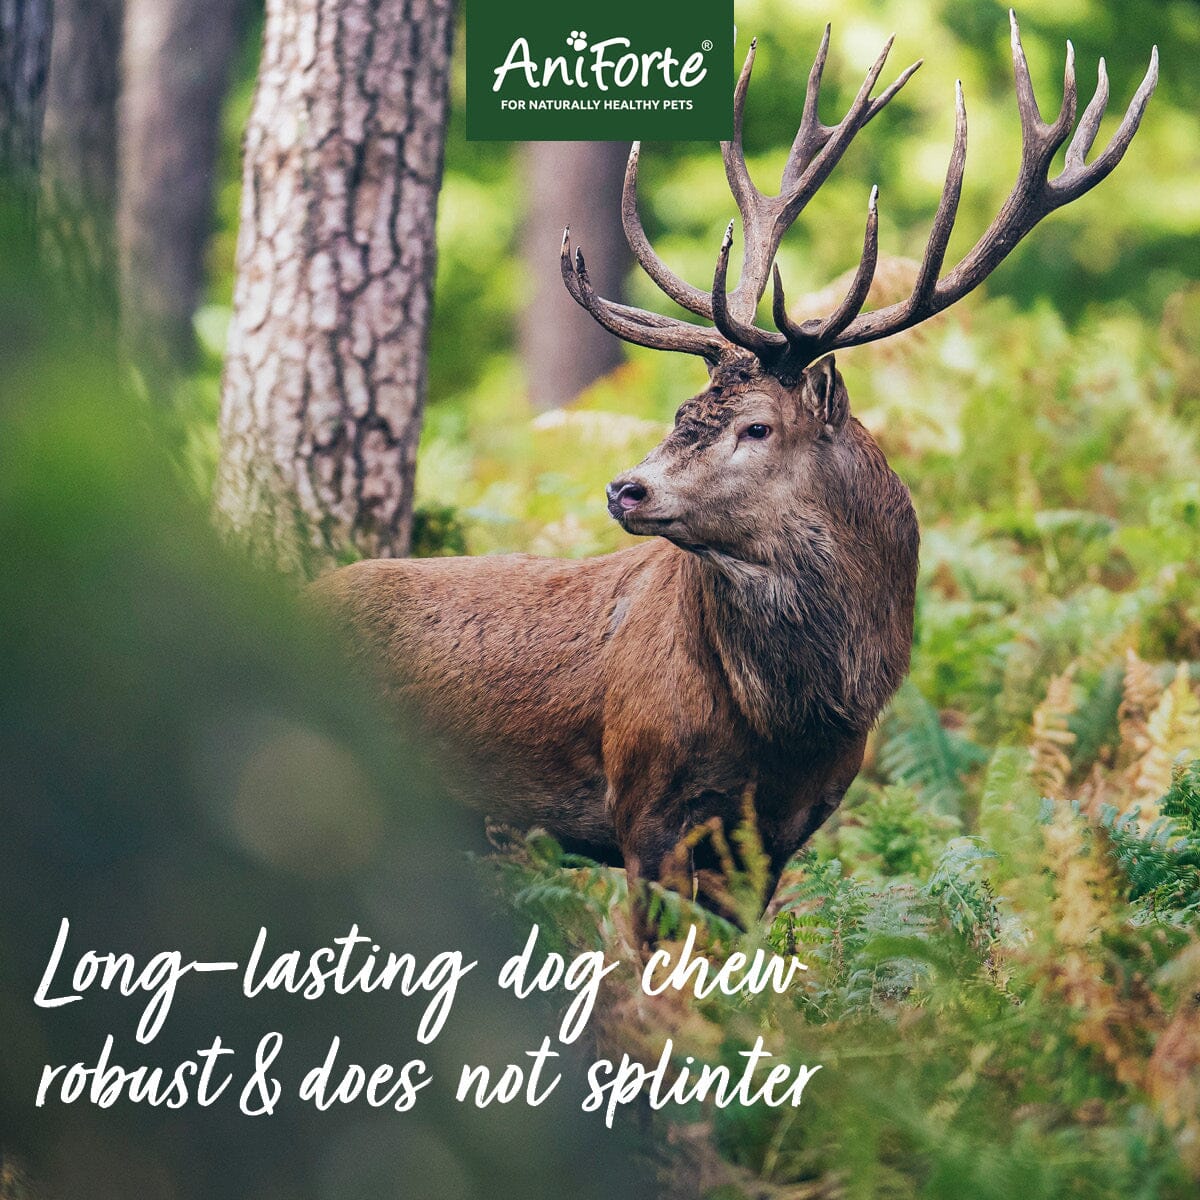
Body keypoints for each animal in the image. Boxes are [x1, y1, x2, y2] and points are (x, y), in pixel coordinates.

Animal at [315, 13, 1157, 920]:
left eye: (755, 427)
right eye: (683, 412)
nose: (625, 488)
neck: (787, 730)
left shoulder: (781, 836)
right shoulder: (643, 806)